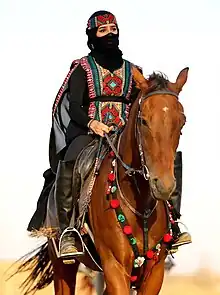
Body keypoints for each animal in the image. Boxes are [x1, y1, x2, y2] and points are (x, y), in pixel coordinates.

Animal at [9, 66, 188, 294]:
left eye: (182, 121)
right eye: (143, 120)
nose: (163, 185)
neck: (140, 204)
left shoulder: (154, 272)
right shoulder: (114, 266)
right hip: (62, 263)